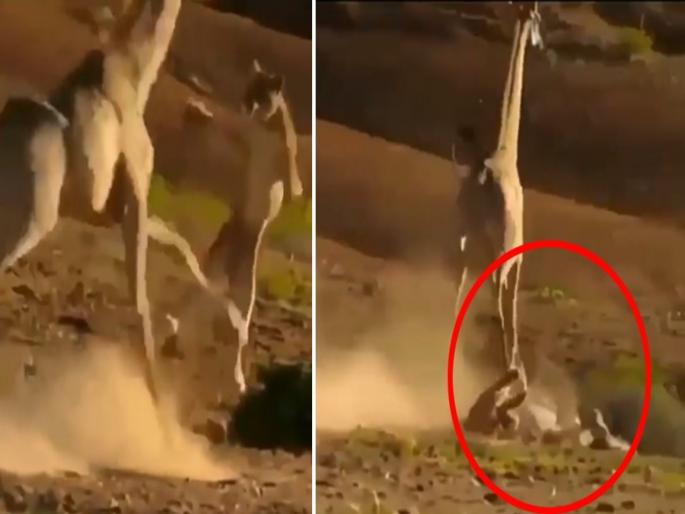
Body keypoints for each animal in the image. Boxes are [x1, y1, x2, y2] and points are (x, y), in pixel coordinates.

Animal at [0, 0, 182, 401]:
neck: (136, 71)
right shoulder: (136, 192)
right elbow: (141, 299)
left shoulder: (105, 211)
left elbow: (178, 242)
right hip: (33, 220)